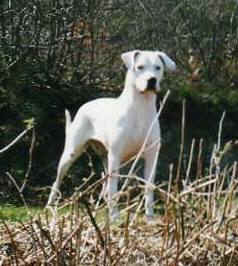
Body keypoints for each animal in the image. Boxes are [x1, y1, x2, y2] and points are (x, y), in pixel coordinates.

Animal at [47, 50, 176, 220]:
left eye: (158, 68)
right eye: (140, 67)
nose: (152, 80)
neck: (140, 108)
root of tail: (86, 105)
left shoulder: (151, 156)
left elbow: (149, 187)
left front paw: (150, 217)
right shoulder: (115, 156)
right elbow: (114, 188)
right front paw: (115, 217)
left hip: (105, 157)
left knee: (106, 186)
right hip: (71, 153)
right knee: (57, 180)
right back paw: (50, 205)